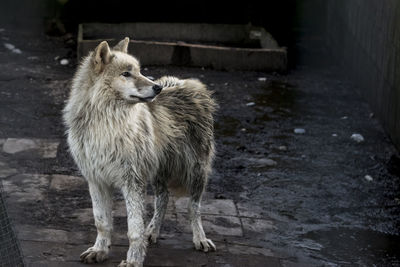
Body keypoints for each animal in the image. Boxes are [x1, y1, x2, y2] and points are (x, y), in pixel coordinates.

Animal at [63, 38, 217, 267]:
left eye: (139, 71)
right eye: (126, 73)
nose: (157, 88)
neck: (106, 124)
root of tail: (184, 82)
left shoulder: (132, 182)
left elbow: (133, 230)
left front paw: (133, 261)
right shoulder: (96, 180)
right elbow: (101, 222)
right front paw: (99, 250)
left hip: (196, 171)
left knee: (193, 208)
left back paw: (200, 239)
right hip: (159, 172)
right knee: (163, 198)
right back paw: (151, 232)